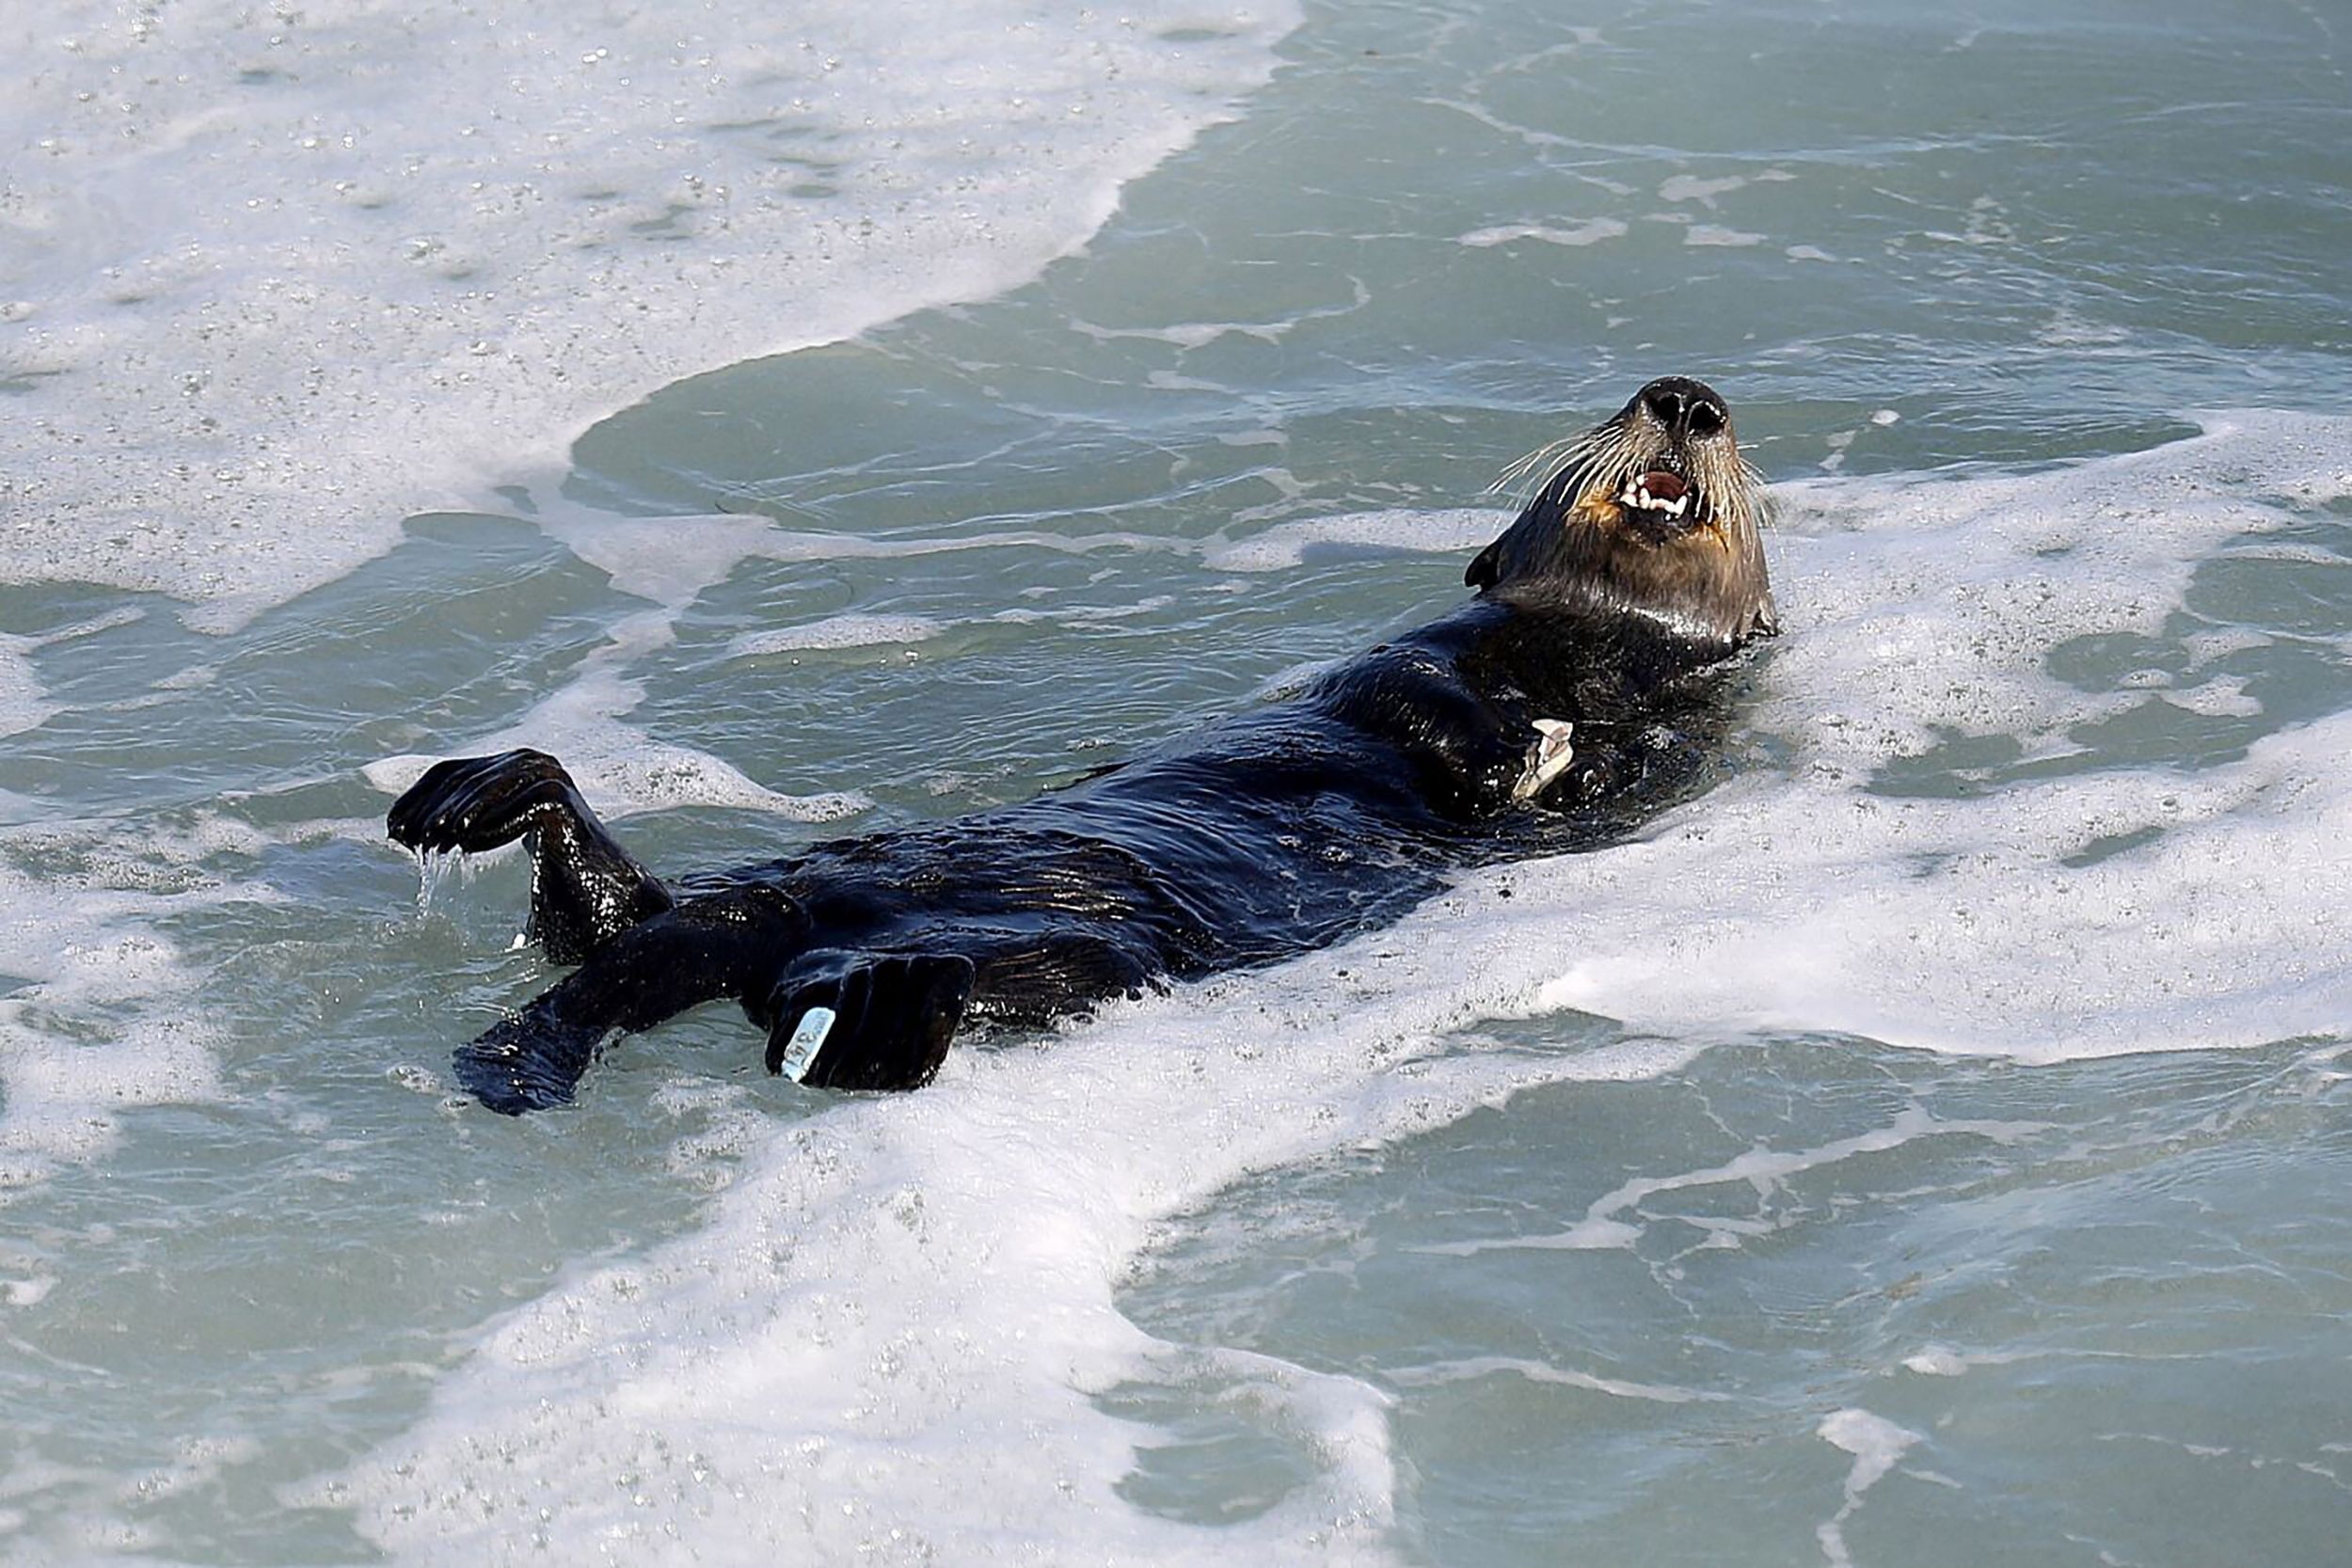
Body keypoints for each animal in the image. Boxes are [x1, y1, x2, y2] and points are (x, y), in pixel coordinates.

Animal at [390, 375, 1778, 1114]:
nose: (1687, 400)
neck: (1584, 654)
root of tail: (808, 925)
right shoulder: (1429, 645)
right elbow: (1397, 690)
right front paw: (1501, 747)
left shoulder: (1681, 735)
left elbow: (1611, 784)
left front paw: (1544, 760)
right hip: (825, 896)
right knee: (626, 928)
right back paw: (474, 799)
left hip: (1070, 955)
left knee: (704, 969)